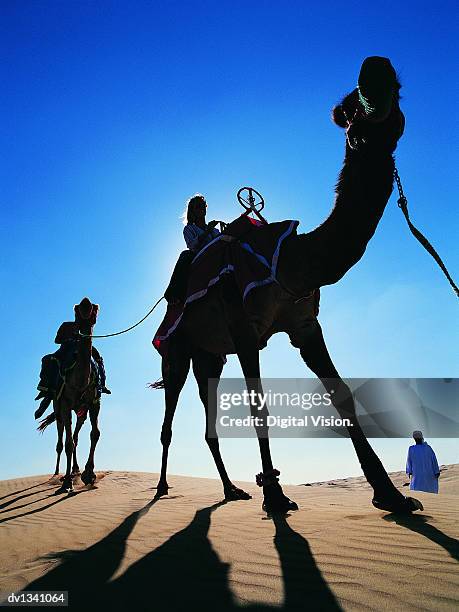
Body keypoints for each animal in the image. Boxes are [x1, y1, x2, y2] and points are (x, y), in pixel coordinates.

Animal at [155, 58, 424, 516]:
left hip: (209, 357)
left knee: (208, 422)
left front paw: (390, 494)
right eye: (351, 114)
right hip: (177, 352)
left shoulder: (304, 324)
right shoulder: (244, 330)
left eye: (399, 94)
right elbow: (258, 406)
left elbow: (342, 393)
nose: (375, 68)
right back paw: (160, 488)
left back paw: (232, 490)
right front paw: (276, 496)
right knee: (168, 420)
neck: (292, 260)